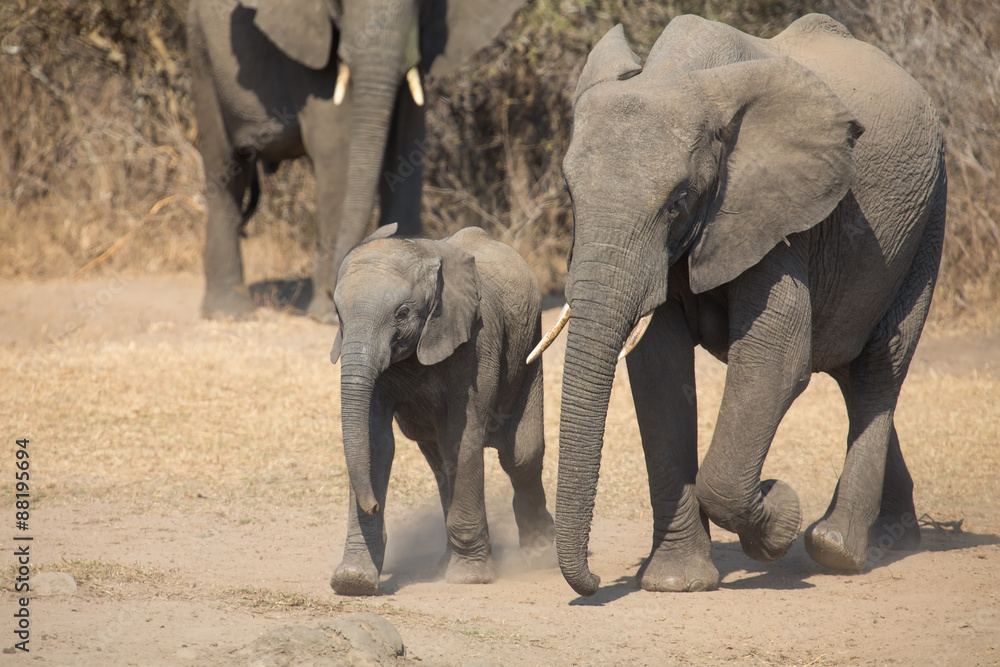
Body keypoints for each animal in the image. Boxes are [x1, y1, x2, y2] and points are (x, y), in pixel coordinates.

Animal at [186, 0, 524, 322]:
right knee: (226, 170)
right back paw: (229, 313)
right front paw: (326, 314)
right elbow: (336, 150)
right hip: (203, 54)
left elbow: (407, 141)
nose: (334, 289)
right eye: (339, 4)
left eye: (424, 3)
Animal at [329, 224, 555, 595]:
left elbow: (462, 437)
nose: (373, 505)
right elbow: (375, 443)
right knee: (441, 466)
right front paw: (353, 581)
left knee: (520, 456)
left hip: (531, 343)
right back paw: (443, 564)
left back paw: (540, 557)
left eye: (402, 313)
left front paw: (470, 578)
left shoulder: (477, 342)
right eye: (338, 316)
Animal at [530, 14, 946, 596]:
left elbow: (776, 359)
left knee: (878, 367)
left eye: (678, 201)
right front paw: (676, 583)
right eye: (570, 195)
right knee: (848, 366)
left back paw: (837, 547)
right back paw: (896, 537)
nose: (593, 579)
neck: (680, 75)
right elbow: (658, 368)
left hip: (927, 218)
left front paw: (779, 512)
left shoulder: (775, 215)